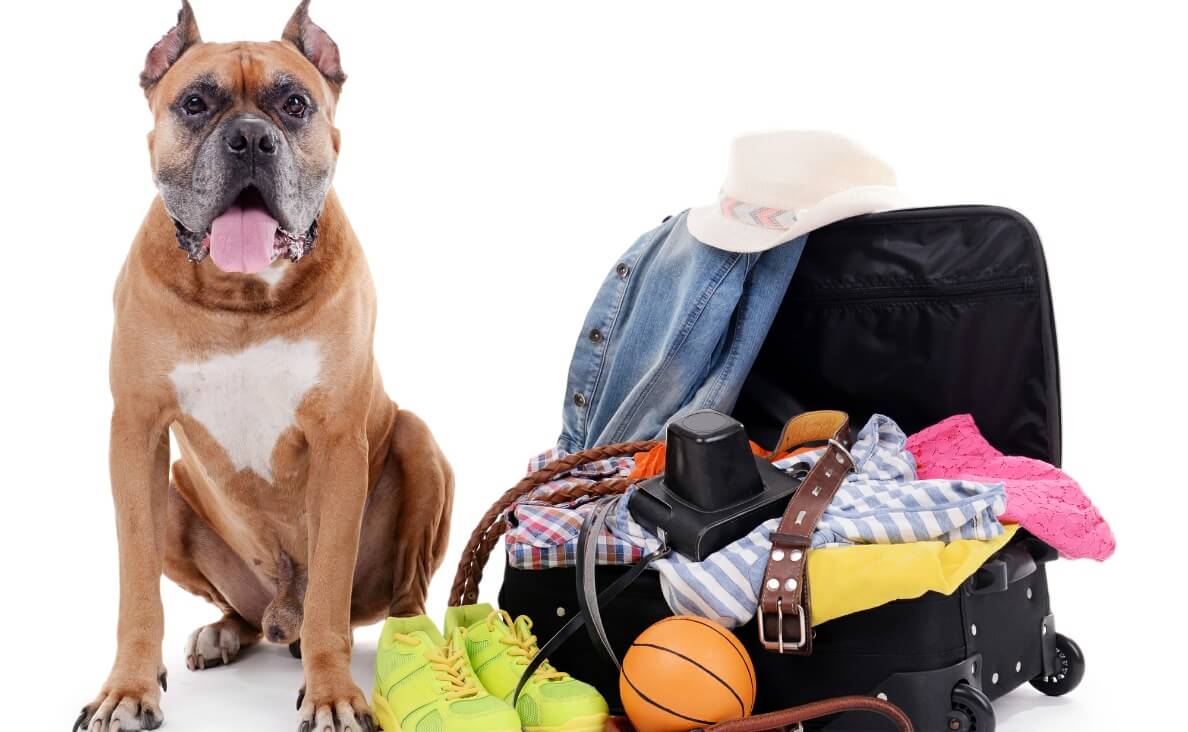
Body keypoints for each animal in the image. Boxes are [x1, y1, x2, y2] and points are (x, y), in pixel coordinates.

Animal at [75, 2, 453, 727]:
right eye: (195, 103)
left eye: (295, 103)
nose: (251, 139)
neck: (241, 297)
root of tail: (283, 615)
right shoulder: (136, 433)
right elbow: (136, 588)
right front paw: (128, 688)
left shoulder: (337, 441)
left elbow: (330, 589)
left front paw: (333, 694)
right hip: (175, 492)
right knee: (242, 614)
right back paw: (224, 631)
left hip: (418, 444)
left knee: (402, 594)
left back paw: (411, 641)